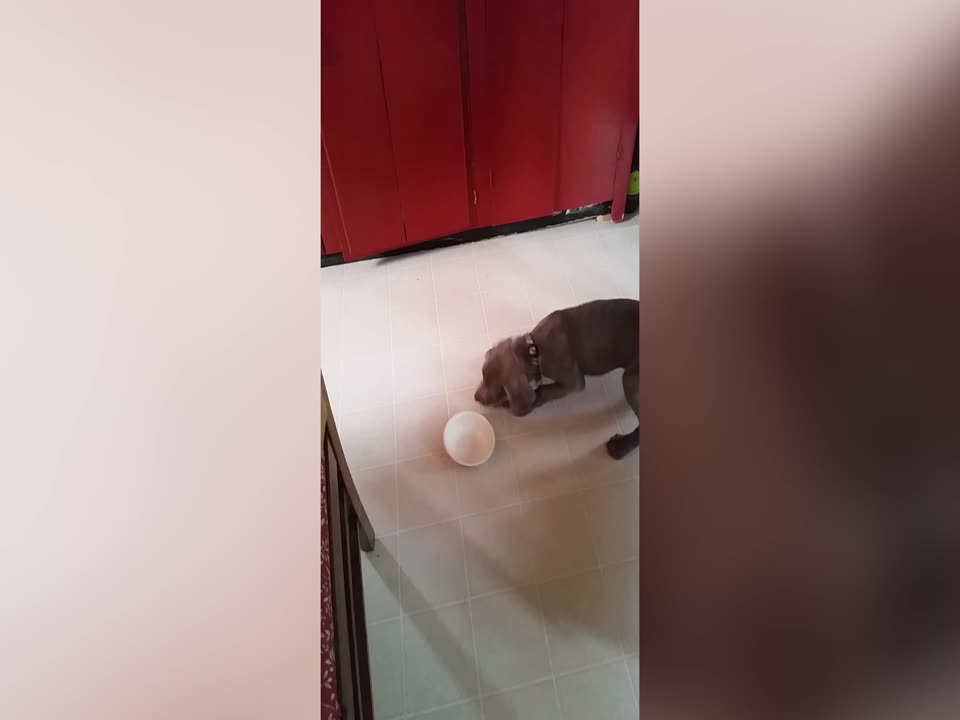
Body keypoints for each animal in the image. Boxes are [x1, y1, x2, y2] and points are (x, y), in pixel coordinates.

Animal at [472, 296, 636, 456]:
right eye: (482, 374)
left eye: (499, 390)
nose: (476, 397)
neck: (534, 349)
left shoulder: (574, 382)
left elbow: (544, 390)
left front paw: (525, 404)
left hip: (630, 378)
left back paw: (620, 446)